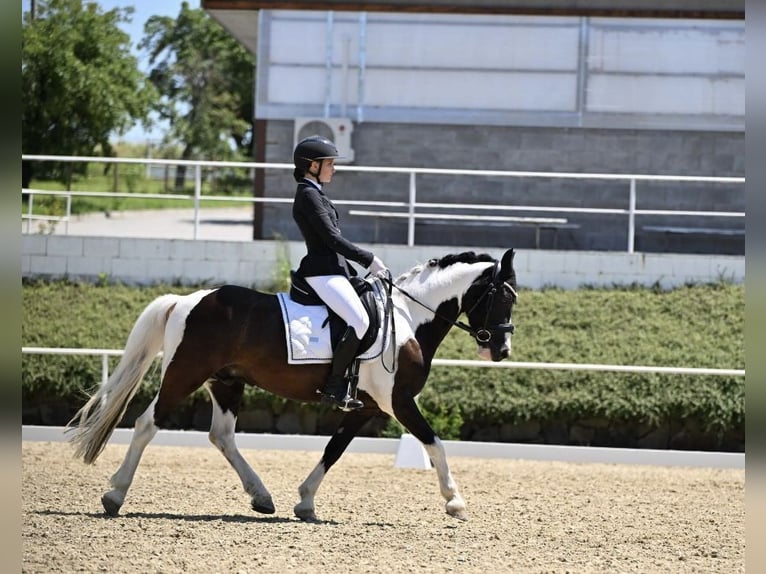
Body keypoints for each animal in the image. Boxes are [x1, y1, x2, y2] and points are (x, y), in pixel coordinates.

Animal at [66, 248, 518, 522]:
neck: (407, 318)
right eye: (503, 298)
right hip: (184, 374)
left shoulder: (367, 407)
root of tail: (187, 300)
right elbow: (435, 444)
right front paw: (455, 501)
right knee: (147, 424)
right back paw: (114, 496)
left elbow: (334, 450)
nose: (503, 350)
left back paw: (261, 497)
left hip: (226, 383)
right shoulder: (399, 400)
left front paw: (304, 501)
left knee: (222, 435)